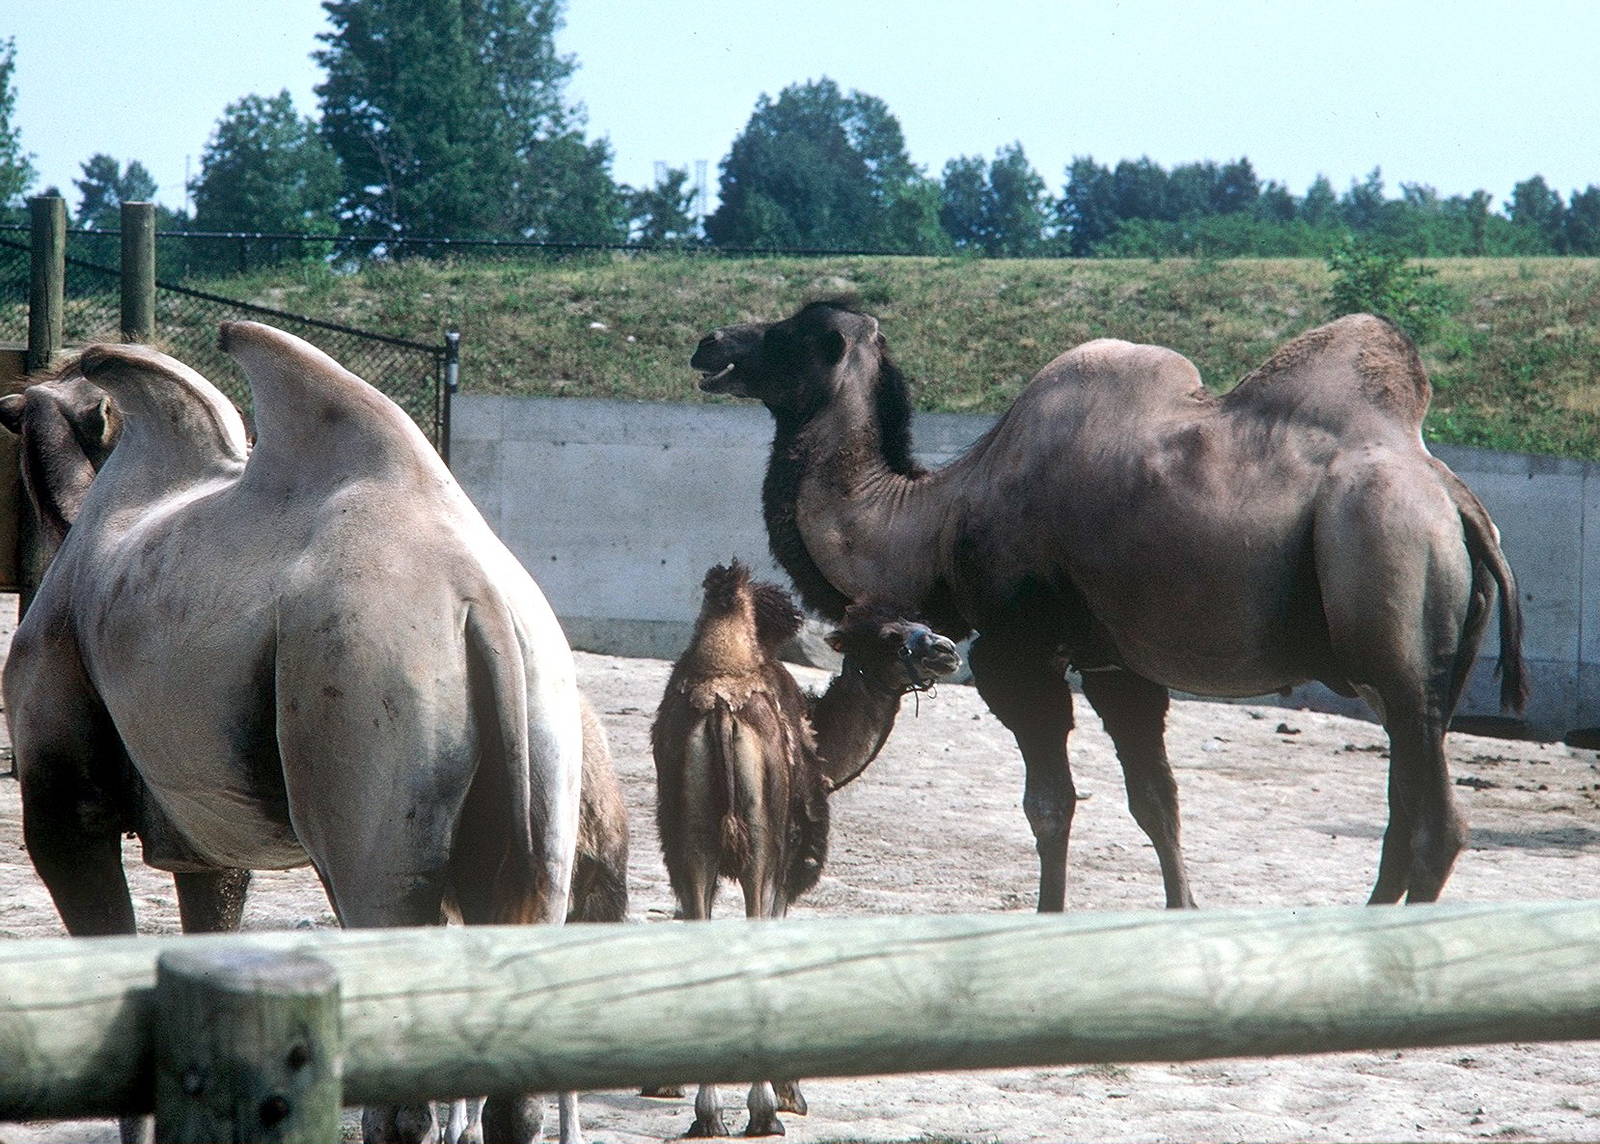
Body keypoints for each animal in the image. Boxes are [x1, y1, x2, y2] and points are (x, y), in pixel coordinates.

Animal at [652, 561, 960, 1137]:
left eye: (922, 621)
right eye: (890, 637)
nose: (947, 650)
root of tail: (720, 710)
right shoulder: (793, 858)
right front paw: (790, 1091)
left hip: (689, 839)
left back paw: (708, 1116)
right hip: (762, 846)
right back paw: (762, 1113)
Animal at [691, 300, 1528, 912]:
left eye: (791, 333)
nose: (710, 343)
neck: (932, 520)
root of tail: (1456, 500)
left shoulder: (1017, 651)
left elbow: (1049, 803)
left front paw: (1048, 917)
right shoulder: (1114, 663)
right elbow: (1155, 801)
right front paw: (1180, 915)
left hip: (1388, 588)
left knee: (1435, 821)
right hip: (1422, 667)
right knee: (1409, 802)